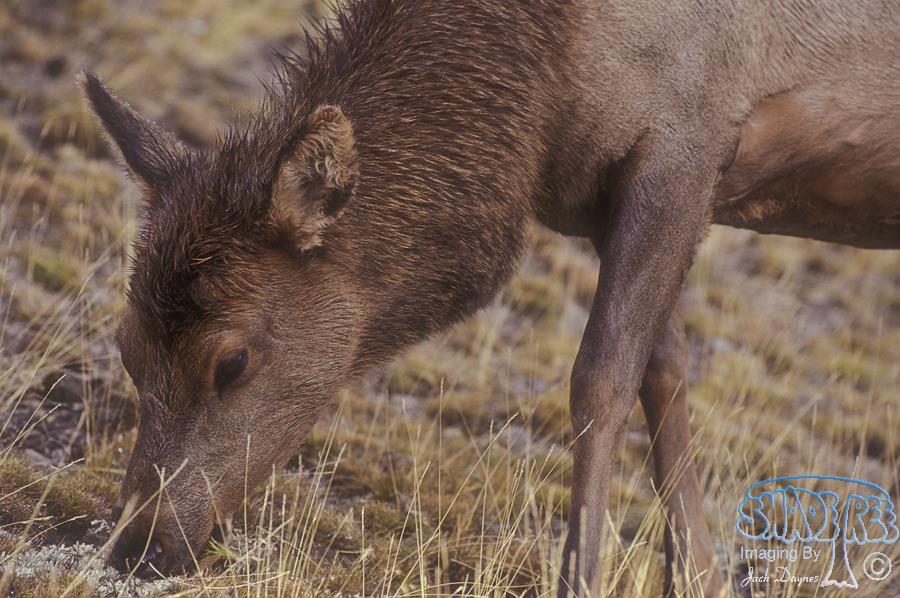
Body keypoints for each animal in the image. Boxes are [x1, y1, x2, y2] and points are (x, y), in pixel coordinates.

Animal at [81, 0, 899, 595]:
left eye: (232, 361)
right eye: (126, 349)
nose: (135, 545)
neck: (540, 81)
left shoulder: (686, 142)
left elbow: (600, 381)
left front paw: (581, 580)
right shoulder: (607, 196)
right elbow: (663, 375)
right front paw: (697, 577)